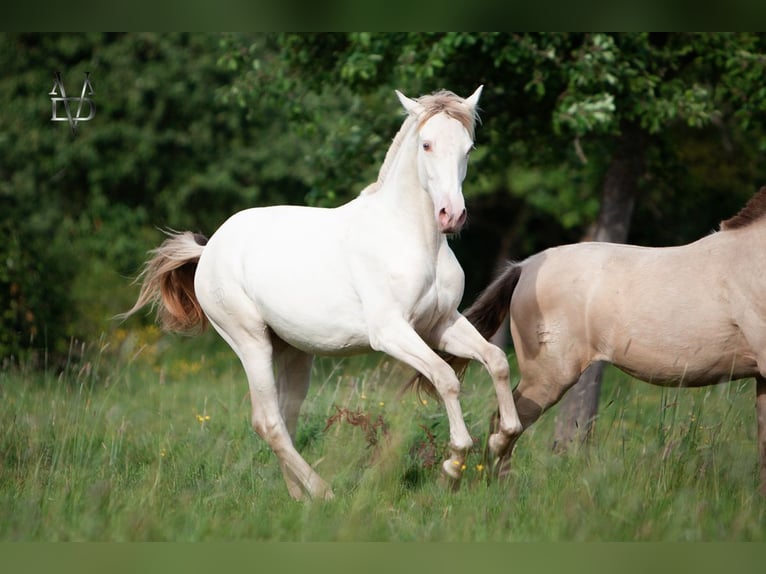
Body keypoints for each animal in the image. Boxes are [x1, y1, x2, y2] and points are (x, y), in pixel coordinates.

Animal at [120, 87, 522, 500]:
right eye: (426, 144)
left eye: (468, 148)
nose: (451, 216)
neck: (409, 236)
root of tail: (210, 248)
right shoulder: (392, 333)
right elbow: (445, 378)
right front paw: (453, 464)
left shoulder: (440, 325)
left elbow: (496, 360)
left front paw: (502, 440)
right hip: (250, 342)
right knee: (267, 421)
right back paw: (322, 493)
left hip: (293, 350)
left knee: (286, 416)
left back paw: (298, 497)